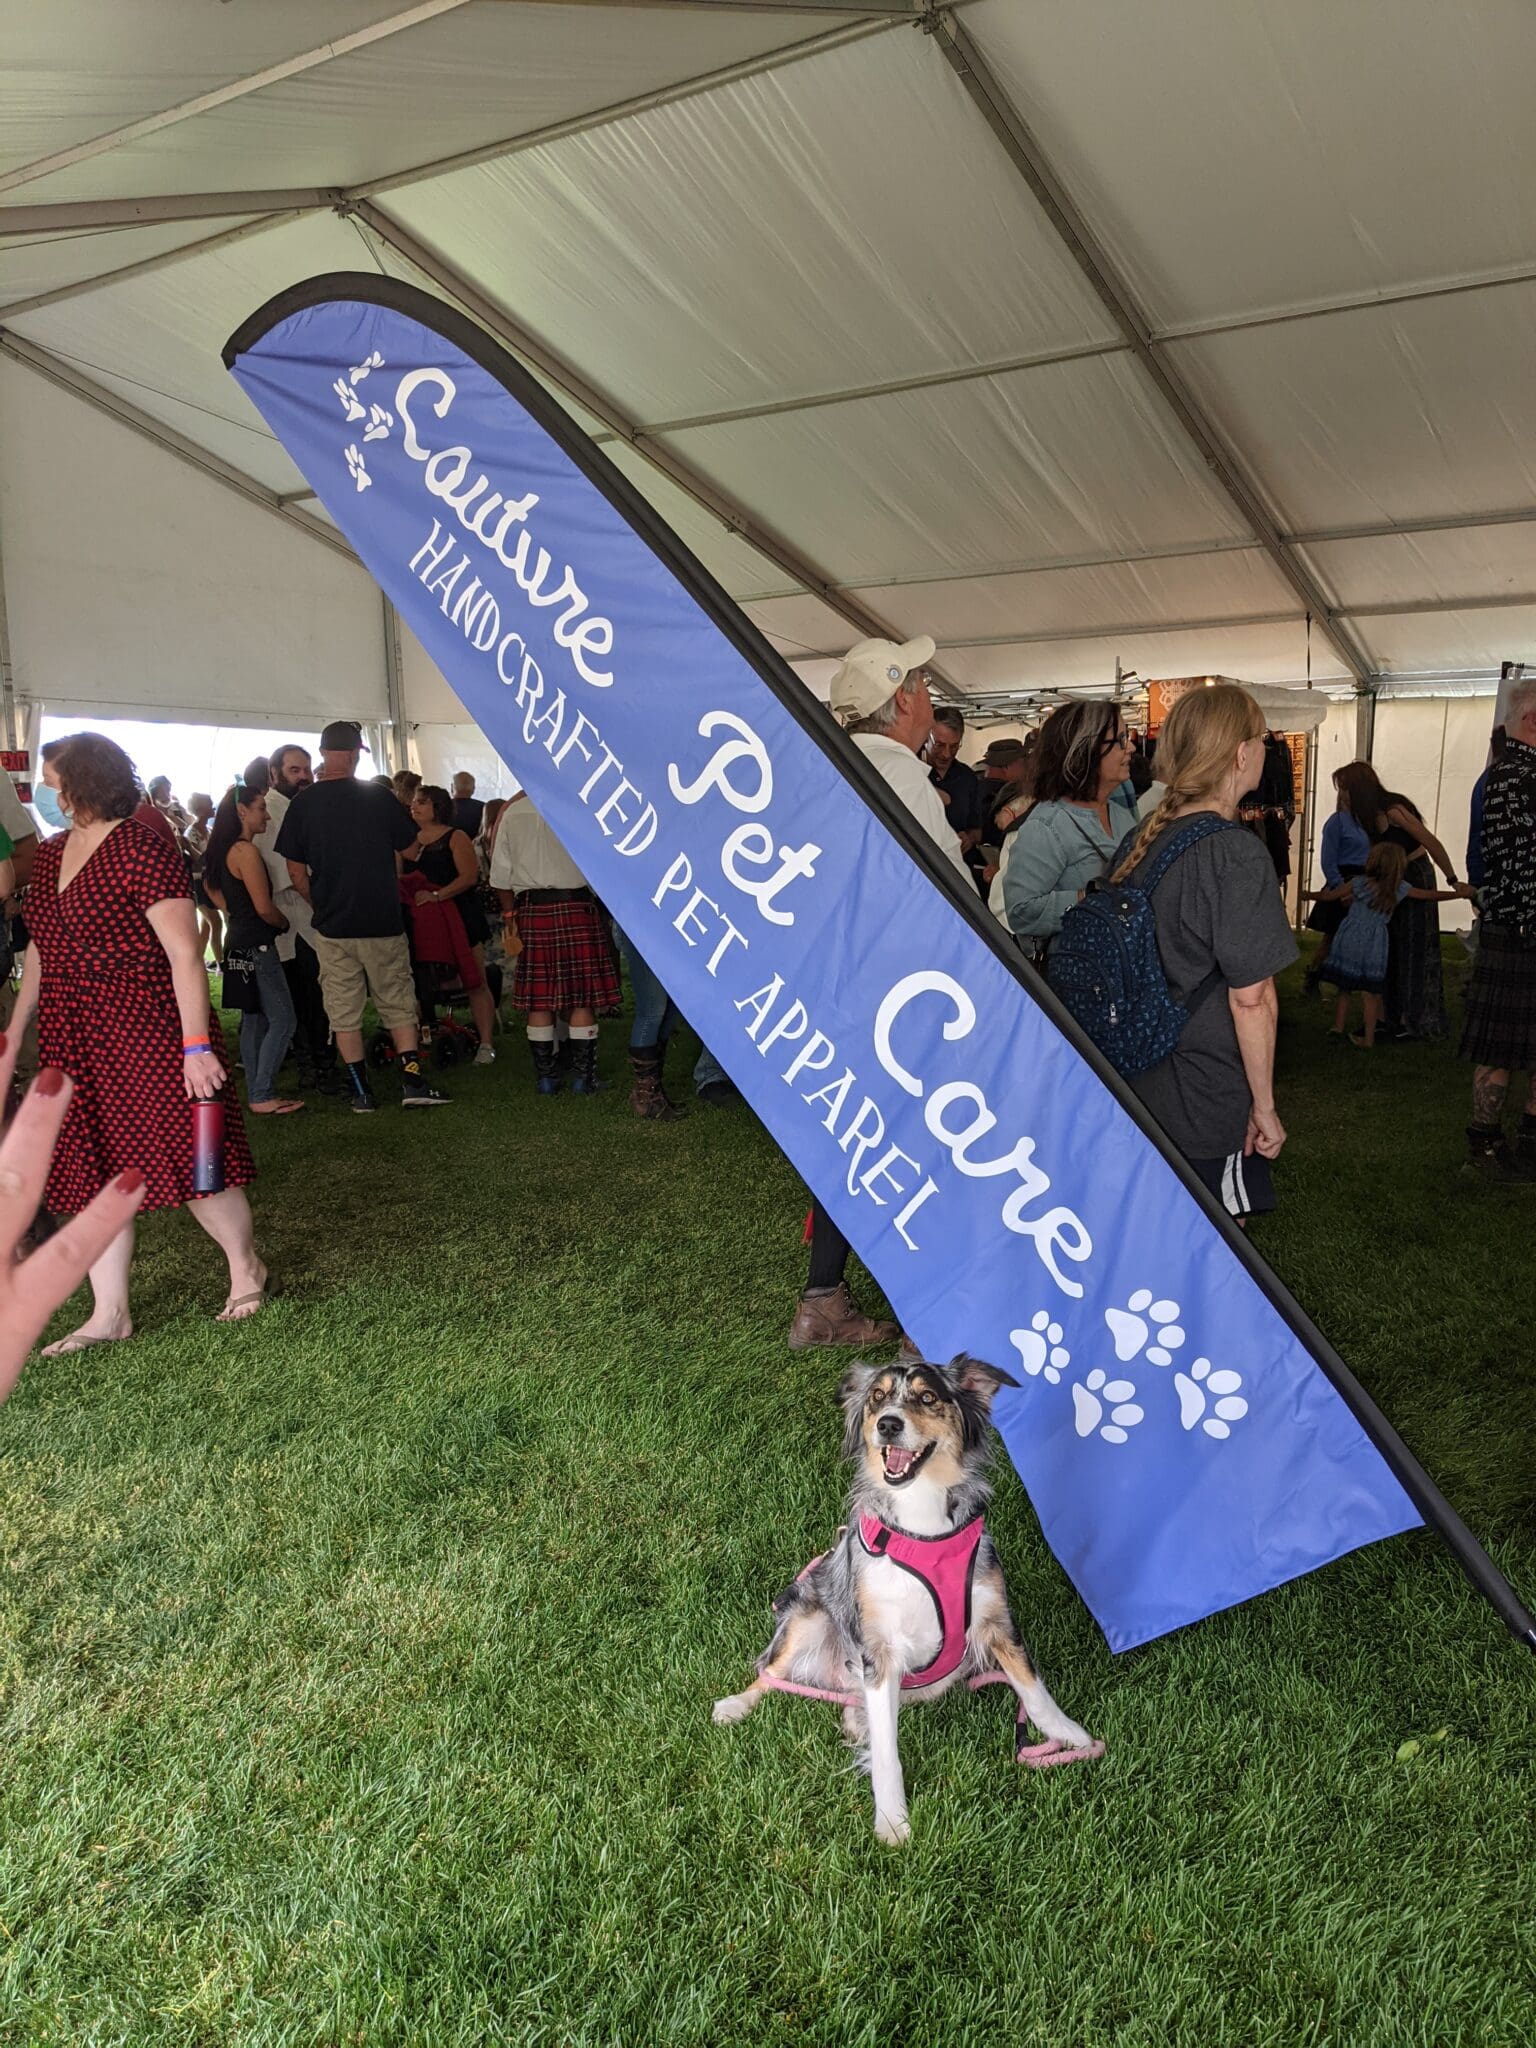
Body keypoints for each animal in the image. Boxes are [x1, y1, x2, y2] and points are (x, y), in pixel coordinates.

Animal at [716, 1351, 1097, 1851]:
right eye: (877, 1398)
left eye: (928, 1397)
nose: (888, 1424)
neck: (923, 1523)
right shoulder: (879, 1652)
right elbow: (886, 1751)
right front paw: (893, 1821)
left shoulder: (995, 1618)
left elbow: (1033, 1688)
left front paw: (1070, 1735)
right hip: (808, 1614)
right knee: (771, 1672)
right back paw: (736, 1704)